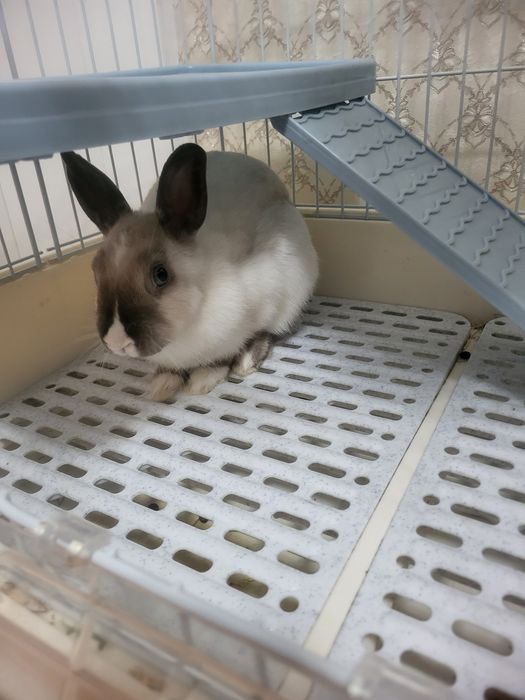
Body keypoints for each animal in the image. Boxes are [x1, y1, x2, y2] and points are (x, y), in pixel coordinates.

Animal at [62, 143, 318, 400]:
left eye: (161, 275)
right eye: (95, 270)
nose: (116, 341)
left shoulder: (260, 304)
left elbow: (228, 353)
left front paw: (201, 381)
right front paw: (162, 385)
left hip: (293, 291)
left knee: (279, 328)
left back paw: (246, 361)